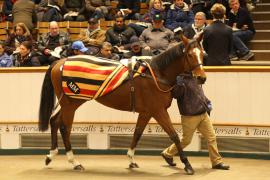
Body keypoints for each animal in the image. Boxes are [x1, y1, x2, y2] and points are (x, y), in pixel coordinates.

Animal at [38, 34, 207, 175]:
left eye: (202, 53)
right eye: (190, 55)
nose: (202, 78)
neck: (156, 74)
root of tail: (60, 62)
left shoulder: (146, 112)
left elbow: (137, 133)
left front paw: (131, 159)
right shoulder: (158, 111)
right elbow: (174, 136)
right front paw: (187, 165)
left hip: (69, 103)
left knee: (54, 121)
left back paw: (50, 155)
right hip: (71, 103)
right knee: (64, 128)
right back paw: (74, 162)